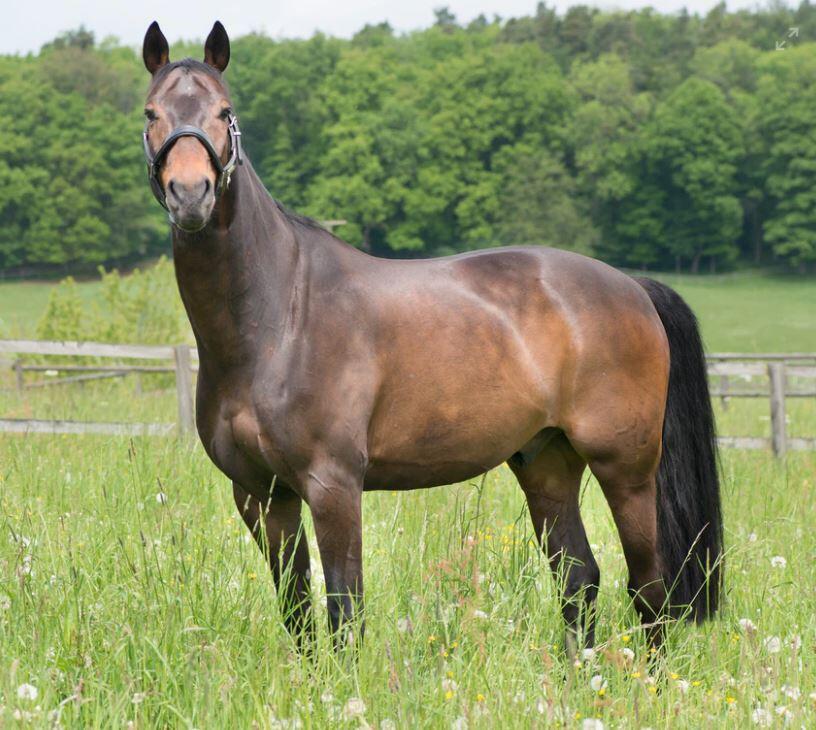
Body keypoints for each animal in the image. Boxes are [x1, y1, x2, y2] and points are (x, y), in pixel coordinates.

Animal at [140, 21, 723, 652]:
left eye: (225, 112)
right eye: (151, 113)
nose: (191, 193)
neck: (278, 320)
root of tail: (632, 287)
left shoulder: (333, 485)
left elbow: (344, 611)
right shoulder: (260, 494)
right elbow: (298, 616)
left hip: (626, 468)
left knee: (649, 590)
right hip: (547, 464)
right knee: (578, 579)